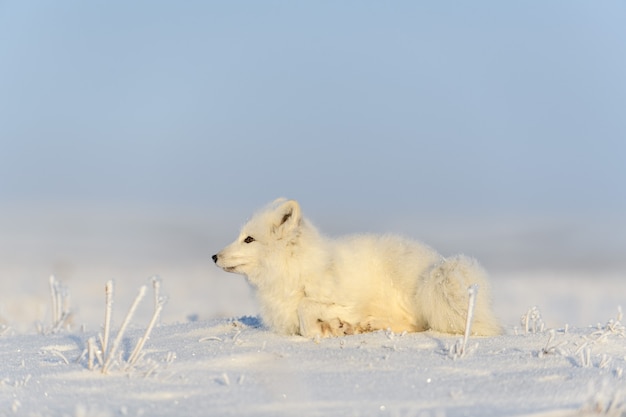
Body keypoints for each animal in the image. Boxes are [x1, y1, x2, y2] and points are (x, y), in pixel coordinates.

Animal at [212, 199, 500, 338]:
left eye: (249, 239)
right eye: (242, 237)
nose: (214, 256)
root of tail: (436, 264)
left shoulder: (346, 301)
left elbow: (307, 308)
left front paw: (325, 328)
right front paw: (330, 329)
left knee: (418, 325)